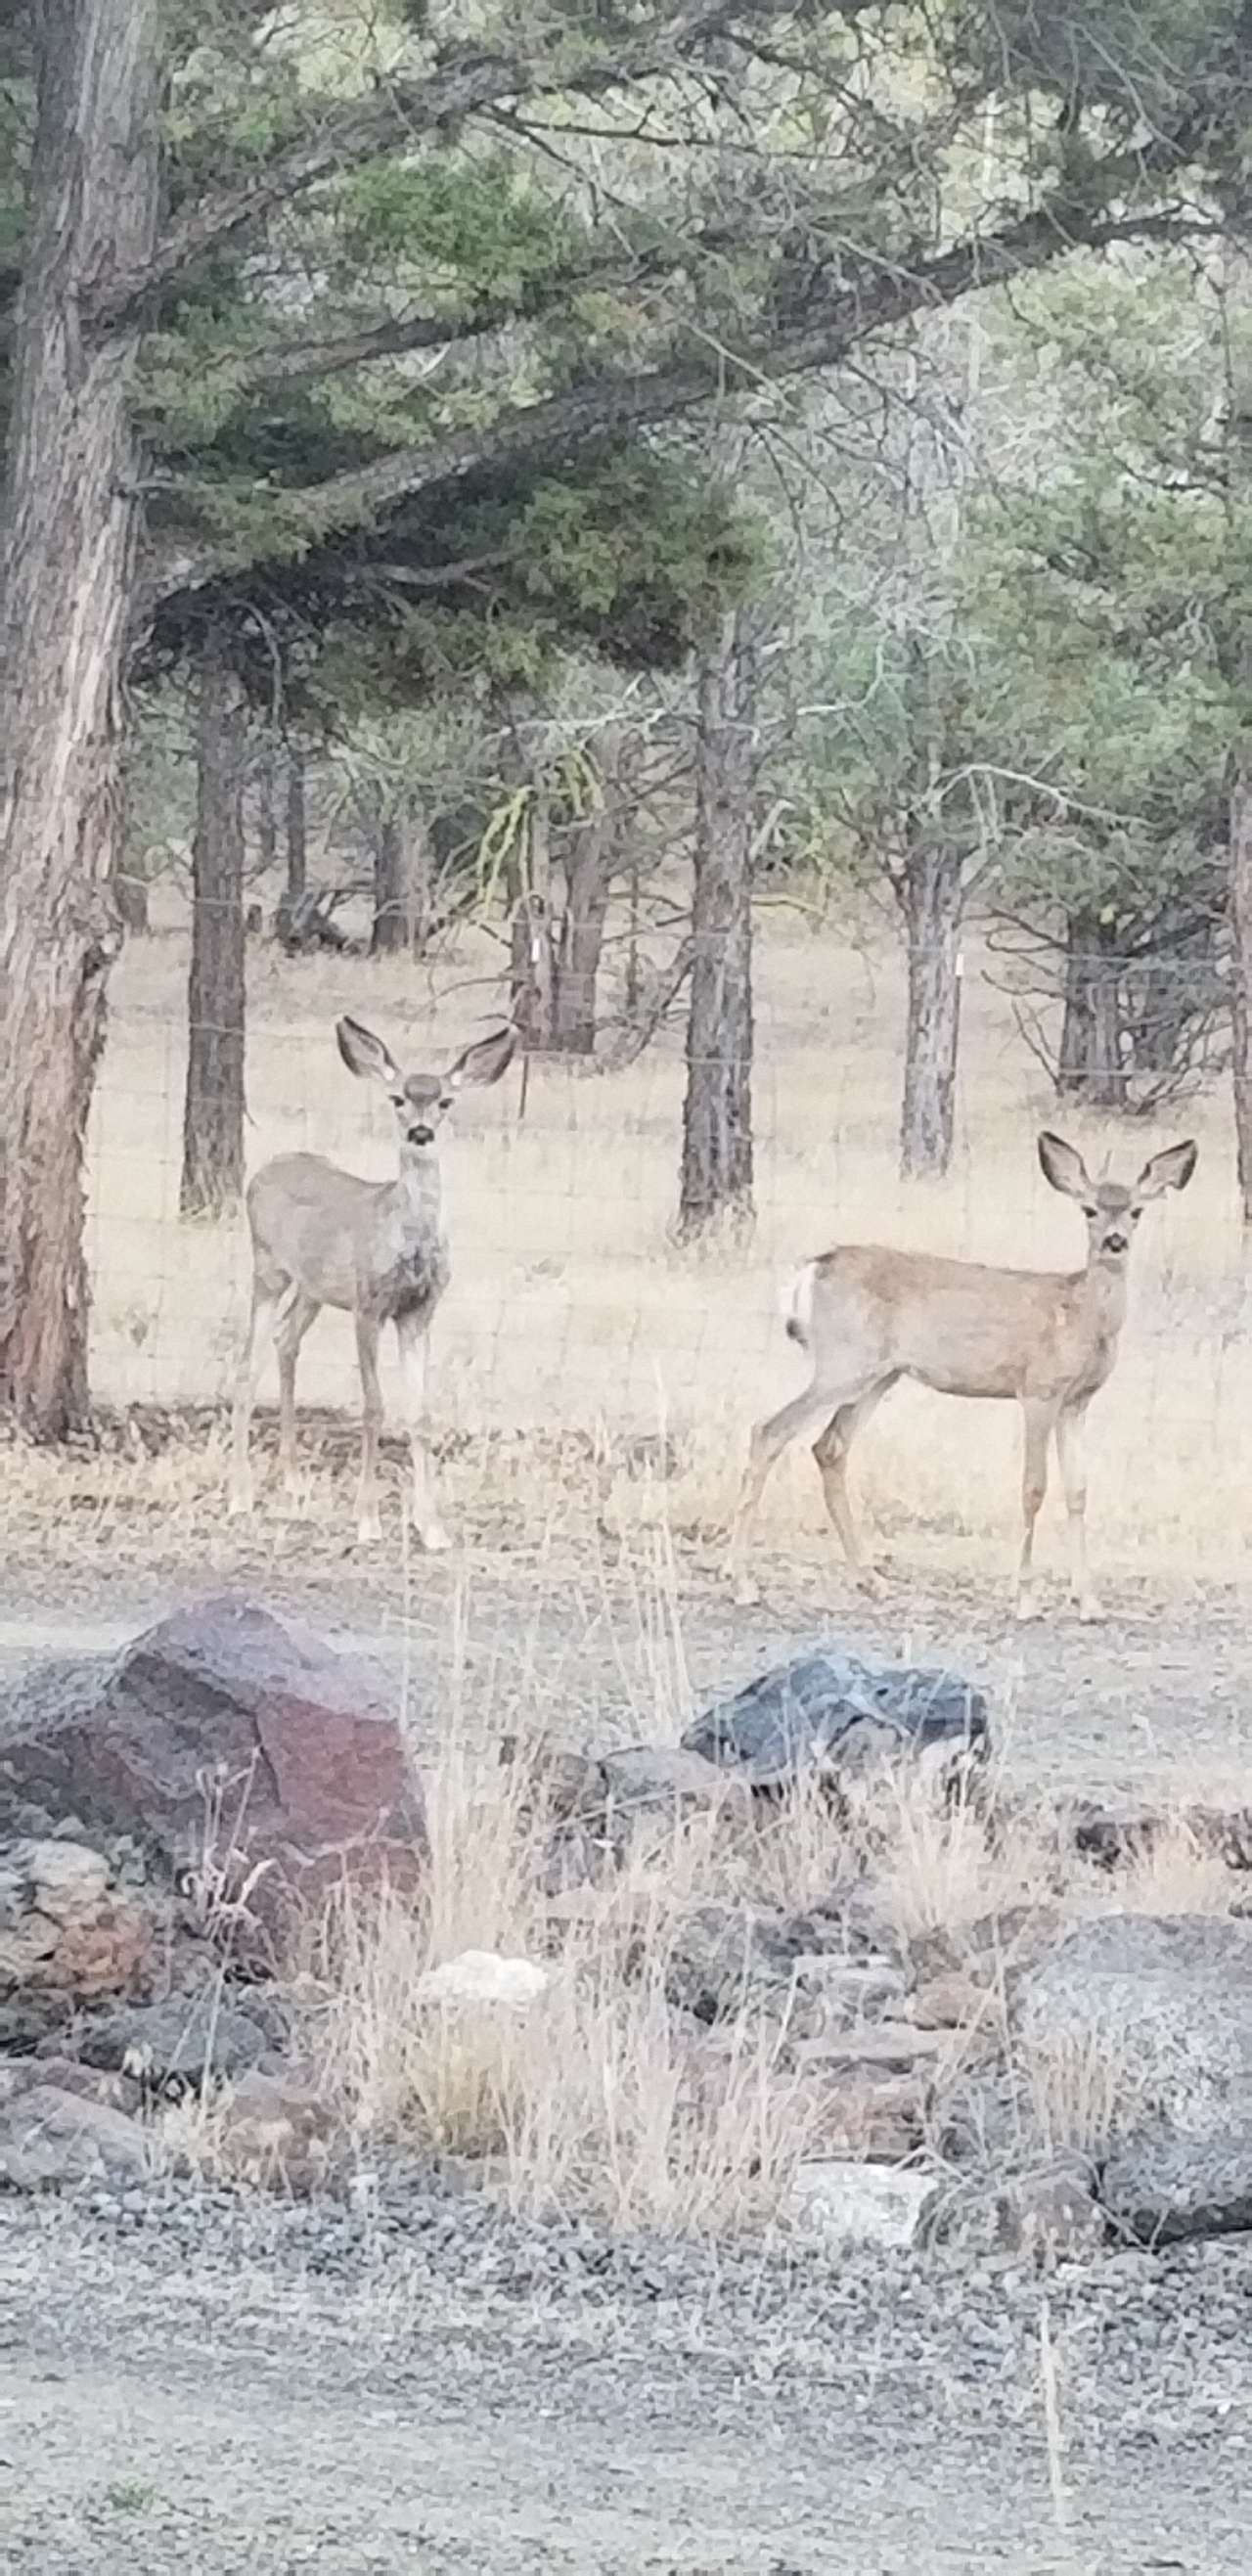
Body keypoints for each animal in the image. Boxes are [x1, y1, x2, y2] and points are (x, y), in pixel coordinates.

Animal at [228, 1015, 516, 1546]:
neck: (408, 1239)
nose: (421, 1132)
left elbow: (421, 1413)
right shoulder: (368, 1304)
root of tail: (264, 1168)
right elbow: (374, 1406)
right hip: (267, 1267)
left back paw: (293, 1479)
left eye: (445, 1100)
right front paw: (367, 1519)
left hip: (314, 1288)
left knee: (285, 1340)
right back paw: (240, 1493)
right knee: (246, 1364)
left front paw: (431, 1526)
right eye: (397, 1098)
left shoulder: (419, 1310)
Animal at [727, 1131, 1197, 1623]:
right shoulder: (1038, 1389)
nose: (1115, 1241)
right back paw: (742, 1583)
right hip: (843, 1362)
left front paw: (1089, 1602)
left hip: (879, 1374)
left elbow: (1079, 1491)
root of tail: (813, 1268)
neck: (1081, 1316)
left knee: (829, 1448)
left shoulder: (1078, 1401)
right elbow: (1033, 1487)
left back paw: (871, 1580)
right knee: (769, 1430)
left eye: (1136, 1211)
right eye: (1089, 1209)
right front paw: (1026, 1599)